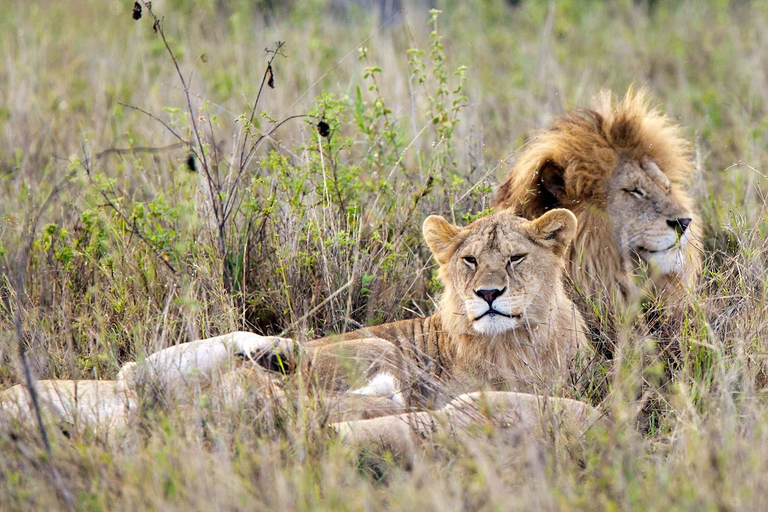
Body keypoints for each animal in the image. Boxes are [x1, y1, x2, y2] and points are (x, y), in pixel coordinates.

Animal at [0, 208, 596, 452]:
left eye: (516, 258)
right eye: (470, 261)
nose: (488, 295)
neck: (517, 338)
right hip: (361, 345)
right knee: (147, 366)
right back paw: (275, 356)